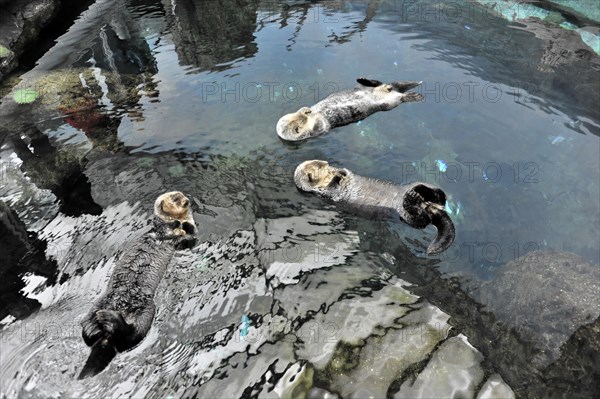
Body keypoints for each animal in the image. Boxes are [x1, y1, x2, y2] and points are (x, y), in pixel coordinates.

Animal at [78, 192, 197, 380]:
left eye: (182, 196)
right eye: (175, 199)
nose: (187, 201)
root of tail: (106, 335)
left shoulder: (187, 237)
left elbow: (190, 236)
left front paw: (183, 225)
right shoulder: (159, 226)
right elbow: (164, 225)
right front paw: (175, 223)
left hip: (146, 310)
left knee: (131, 336)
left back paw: (109, 320)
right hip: (99, 303)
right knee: (92, 335)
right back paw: (93, 326)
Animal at [276, 77, 422, 141]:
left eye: (297, 118)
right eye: (300, 122)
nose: (306, 113)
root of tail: (391, 90)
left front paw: (305, 109)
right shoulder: (318, 130)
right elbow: (319, 124)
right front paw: (308, 113)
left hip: (366, 88)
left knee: (379, 83)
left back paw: (364, 79)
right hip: (388, 104)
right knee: (400, 96)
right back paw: (414, 96)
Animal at [296, 161, 454, 255]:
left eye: (324, 164)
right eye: (319, 167)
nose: (328, 165)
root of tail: (429, 207)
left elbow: (347, 174)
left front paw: (341, 171)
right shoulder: (325, 193)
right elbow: (332, 188)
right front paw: (336, 177)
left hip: (420, 188)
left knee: (439, 194)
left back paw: (419, 192)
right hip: (408, 216)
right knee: (419, 217)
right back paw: (413, 197)